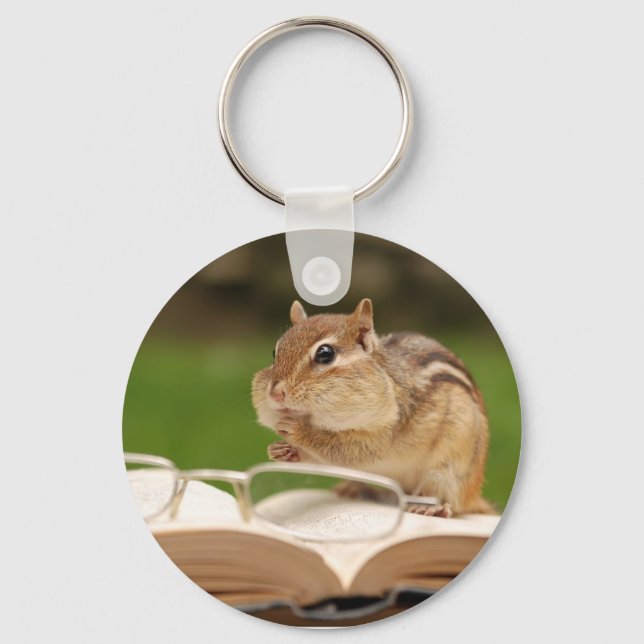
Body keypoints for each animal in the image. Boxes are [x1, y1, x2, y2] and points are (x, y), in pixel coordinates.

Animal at [251, 299, 493, 517]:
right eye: (275, 352)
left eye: (325, 354)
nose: (276, 394)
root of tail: (474, 496)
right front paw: (281, 450)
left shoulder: (385, 432)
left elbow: (343, 448)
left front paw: (297, 431)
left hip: (449, 468)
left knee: (450, 499)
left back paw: (430, 506)